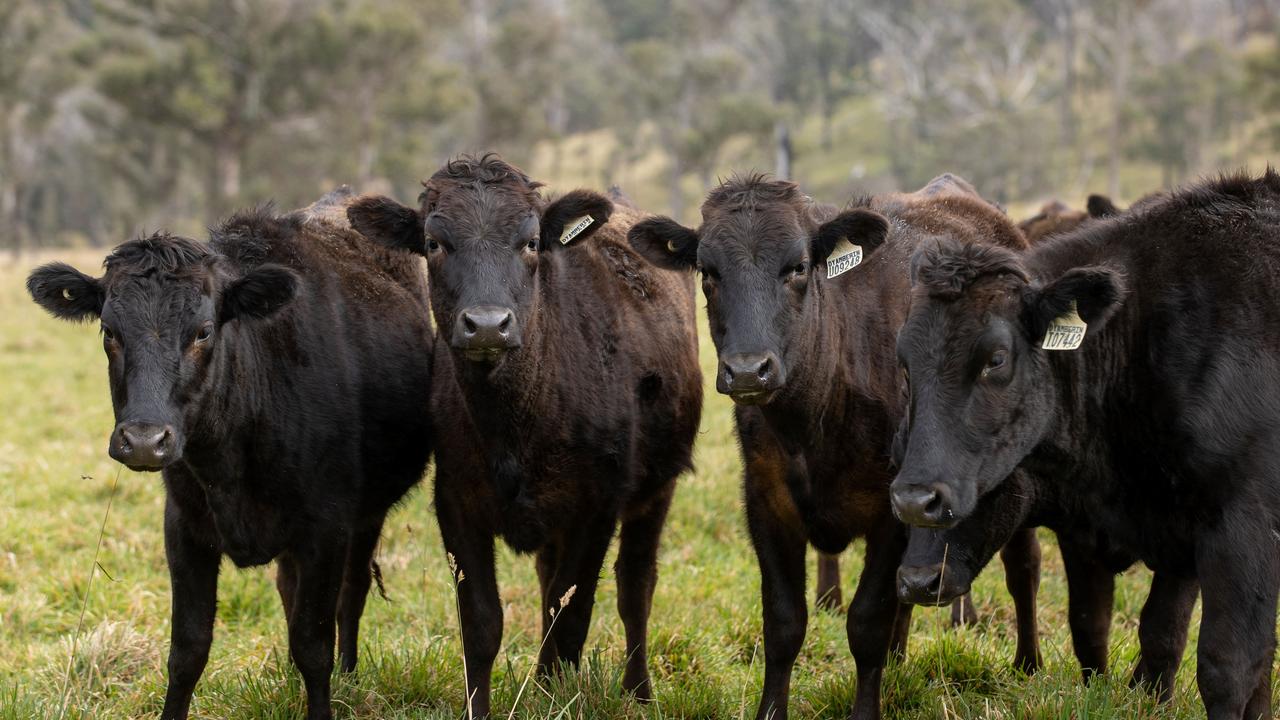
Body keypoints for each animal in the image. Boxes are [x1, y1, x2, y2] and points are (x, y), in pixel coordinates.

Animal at [23, 192, 435, 717]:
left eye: (203, 331)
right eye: (109, 332)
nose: (144, 440)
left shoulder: (327, 527)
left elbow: (314, 644)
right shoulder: (184, 528)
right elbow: (188, 650)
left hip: (367, 516)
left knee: (353, 591)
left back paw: (349, 675)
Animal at [348, 154, 701, 712]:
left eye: (531, 241)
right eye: (434, 243)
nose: (488, 325)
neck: (515, 425)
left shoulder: (597, 505)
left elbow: (571, 614)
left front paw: (560, 701)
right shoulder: (456, 501)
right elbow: (483, 622)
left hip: (656, 489)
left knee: (635, 586)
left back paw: (637, 692)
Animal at [627, 174, 1039, 717]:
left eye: (798, 267)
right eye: (708, 273)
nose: (748, 370)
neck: (813, 424)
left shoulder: (894, 511)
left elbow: (866, 622)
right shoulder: (766, 503)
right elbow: (784, 623)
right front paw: (771, 711)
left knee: (1023, 567)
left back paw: (1028, 663)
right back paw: (901, 662)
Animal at [890, 169, 1280, 717]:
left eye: (996, 359)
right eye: (904, 362)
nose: (916, 581)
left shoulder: (1240, 529)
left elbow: (1226, 664)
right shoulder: (1097, 535)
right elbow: (1105, 633)